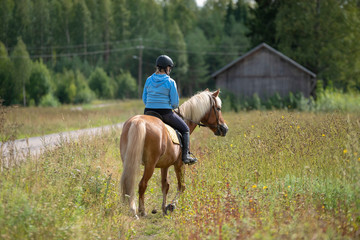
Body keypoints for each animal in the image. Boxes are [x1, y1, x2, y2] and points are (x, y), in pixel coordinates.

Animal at [120, 89, 228, 218]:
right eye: (218, 108)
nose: (224, 129)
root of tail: (138, 121)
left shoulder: (165, 165)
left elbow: (165, 185)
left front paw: (164, 208)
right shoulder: (179, 164)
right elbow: (182, 186)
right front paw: (171, 206)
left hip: (128, 161)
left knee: (127, 182)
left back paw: (131, 208)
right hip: (150, 165)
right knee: (142, 184)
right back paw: (142, 211)